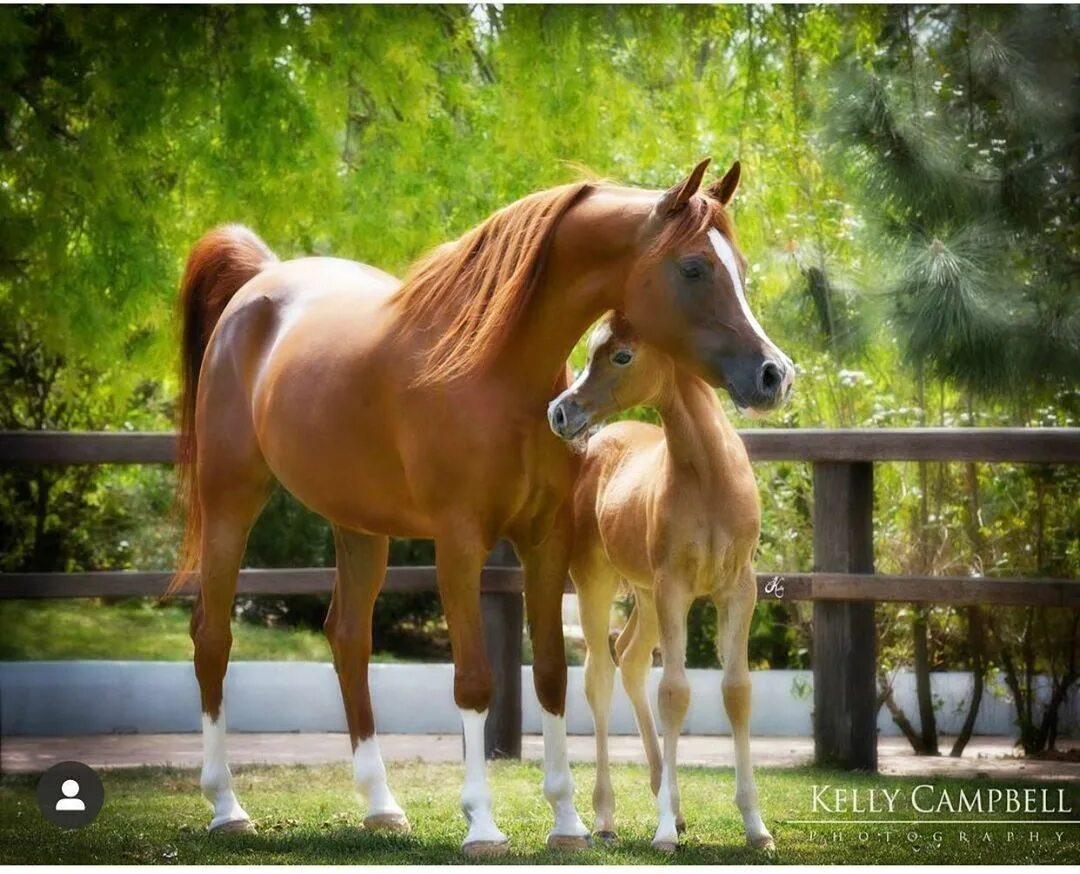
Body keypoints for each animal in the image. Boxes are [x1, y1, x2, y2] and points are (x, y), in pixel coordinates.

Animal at [552, 311, 790, 846]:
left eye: (622, 355)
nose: (560, 412)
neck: (709, 478)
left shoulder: (738, 589)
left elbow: (737, 691)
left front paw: (755, 826)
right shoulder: (674, 587)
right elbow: (675, 693)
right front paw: (663, 830)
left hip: (643, 594)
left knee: (631, 657)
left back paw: (670, 799)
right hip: (598, 583)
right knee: (600, 675)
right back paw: (606, 817)